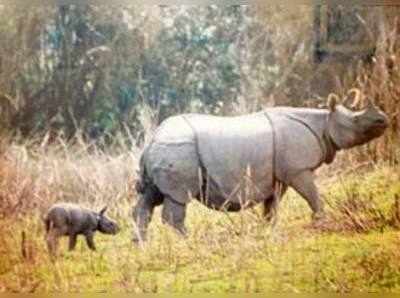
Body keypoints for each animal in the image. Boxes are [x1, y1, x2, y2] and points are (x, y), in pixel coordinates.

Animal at [133, 93, 390, 242]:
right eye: (356, 120)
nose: (384, 120)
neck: (324, 122)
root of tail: (151, 141)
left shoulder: (278, 175)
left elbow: (272, 204)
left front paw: (268, 229)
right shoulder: (298, 170)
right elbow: (312, 194)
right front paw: (321, 222)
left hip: (166, 151)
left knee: (150, 197)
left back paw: (142, 245)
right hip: (177, 150)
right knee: (177, 198)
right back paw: (190, 241)